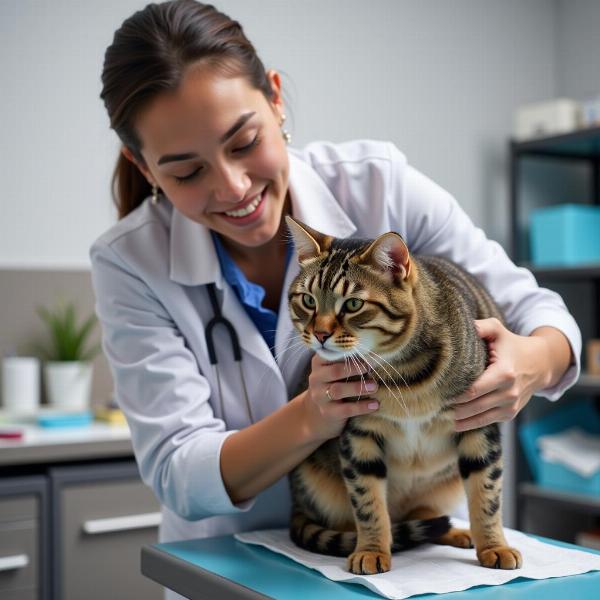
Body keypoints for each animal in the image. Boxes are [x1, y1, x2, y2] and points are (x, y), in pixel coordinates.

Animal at [284, 217, 524, 576]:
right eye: (308, 300)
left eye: (353, 304)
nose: (320, 333)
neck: (401, 376)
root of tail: (295, 504)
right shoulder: (359, 434)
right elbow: (367, 503)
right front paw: (371, 549)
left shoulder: (480, 422)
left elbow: (487, 493)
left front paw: (494, 545)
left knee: (423, 513)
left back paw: (455, 532)